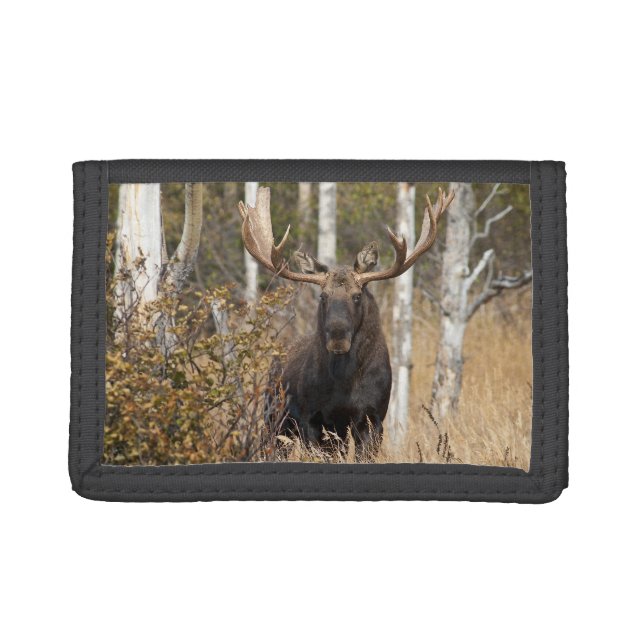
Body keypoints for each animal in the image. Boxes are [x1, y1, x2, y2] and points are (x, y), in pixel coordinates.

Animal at [238, 186, 454, 461]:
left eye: (357, 295)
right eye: (323, 296)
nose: (338, 337)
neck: (344, 384)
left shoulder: (373, 418)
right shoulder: (314, 419)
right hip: (274, 416)